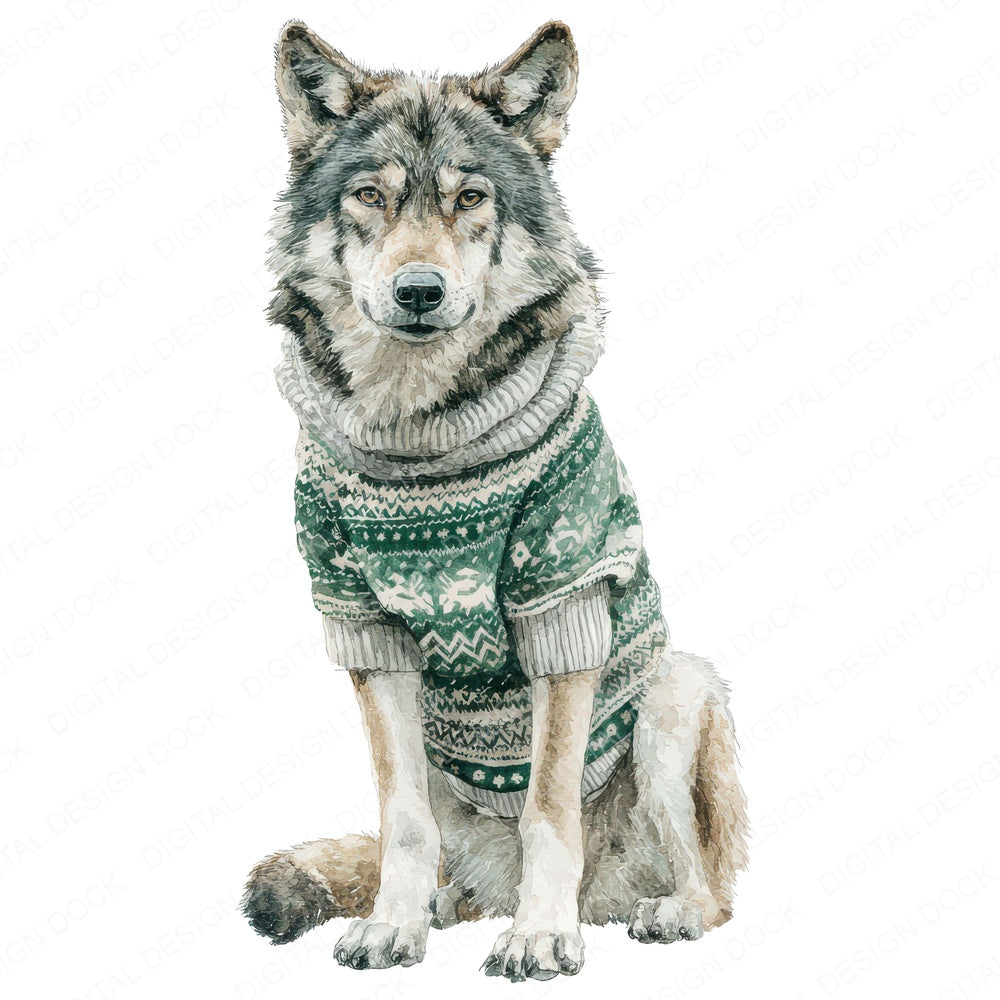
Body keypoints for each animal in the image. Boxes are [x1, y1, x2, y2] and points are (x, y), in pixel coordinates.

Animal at [243, 20, 748, 981]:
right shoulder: (364, 626)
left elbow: (550, 808)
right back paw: (444, 907)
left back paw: (649, 913)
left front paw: (544, 938)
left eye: (469, 198)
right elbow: (401, 822)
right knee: (442, 856)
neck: (421, 437)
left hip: (675, 695)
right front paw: (392, 928)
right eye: (371, 196)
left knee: (714, 892)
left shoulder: (563, 605)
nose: (419, 292)